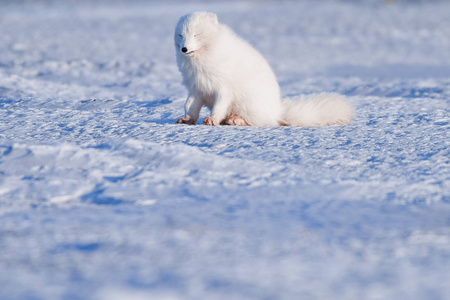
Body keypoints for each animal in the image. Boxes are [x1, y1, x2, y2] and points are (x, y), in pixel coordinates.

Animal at [174, 11, 354, 126]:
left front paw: (212, 120)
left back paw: (236, 120)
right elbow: (189, 106)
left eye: (197, 35)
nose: (184, 49)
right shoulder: (196, 87)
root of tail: (277, 110)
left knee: (262, 122)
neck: (199, 62)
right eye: (181, 35)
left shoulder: (224, 87)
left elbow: (219, 106)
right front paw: (187, 120)